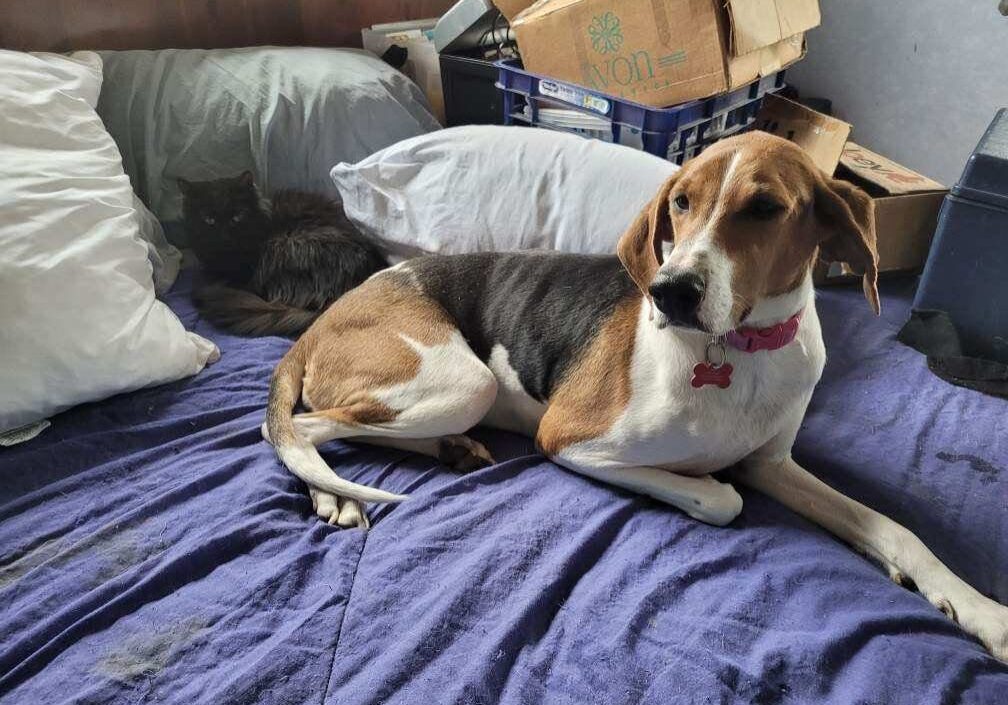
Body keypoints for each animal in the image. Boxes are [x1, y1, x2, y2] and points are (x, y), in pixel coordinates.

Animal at [262, 132, 1008, 661]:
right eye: (680, 201)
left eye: (765, 208)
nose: (669, 291)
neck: (741, 350)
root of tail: (327, 315)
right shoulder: (568, 439)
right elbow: (721, 496)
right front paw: (705, 479)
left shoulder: (774, 464)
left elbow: (895, 529)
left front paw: (981, 610)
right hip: (465, 381)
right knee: (299, 428)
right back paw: (336, 492)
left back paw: (446, 450)